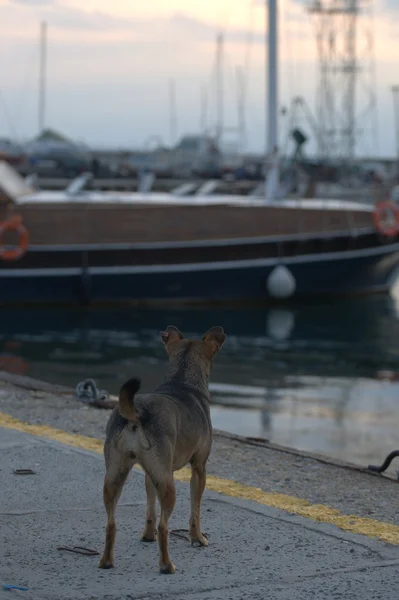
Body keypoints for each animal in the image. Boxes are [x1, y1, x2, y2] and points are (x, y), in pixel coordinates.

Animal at [98, 326, 227, 576]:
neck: (182, 380)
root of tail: (137, 414)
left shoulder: (151, 474)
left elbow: (150, 508)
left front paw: (148, 536)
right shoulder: (199, 468)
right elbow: (195, 510)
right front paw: (197, 539)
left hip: (115, 476)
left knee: (111, 523)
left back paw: (106, 561)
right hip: (168, 484)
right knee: (164, 526)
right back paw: (167, 565)